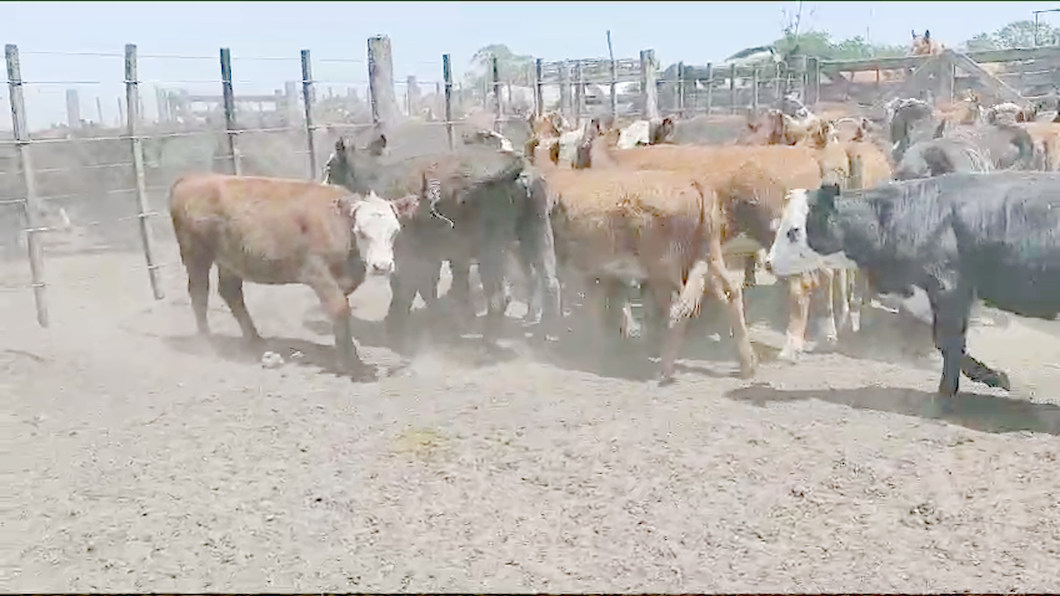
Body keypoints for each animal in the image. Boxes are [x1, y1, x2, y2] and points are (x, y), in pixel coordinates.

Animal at [767, 169, 1060, 396]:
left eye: (793, 231)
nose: (768, 263)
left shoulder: (949, 289)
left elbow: (948, 341)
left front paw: (949, 393)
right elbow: (949, 344)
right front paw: (992, 378)